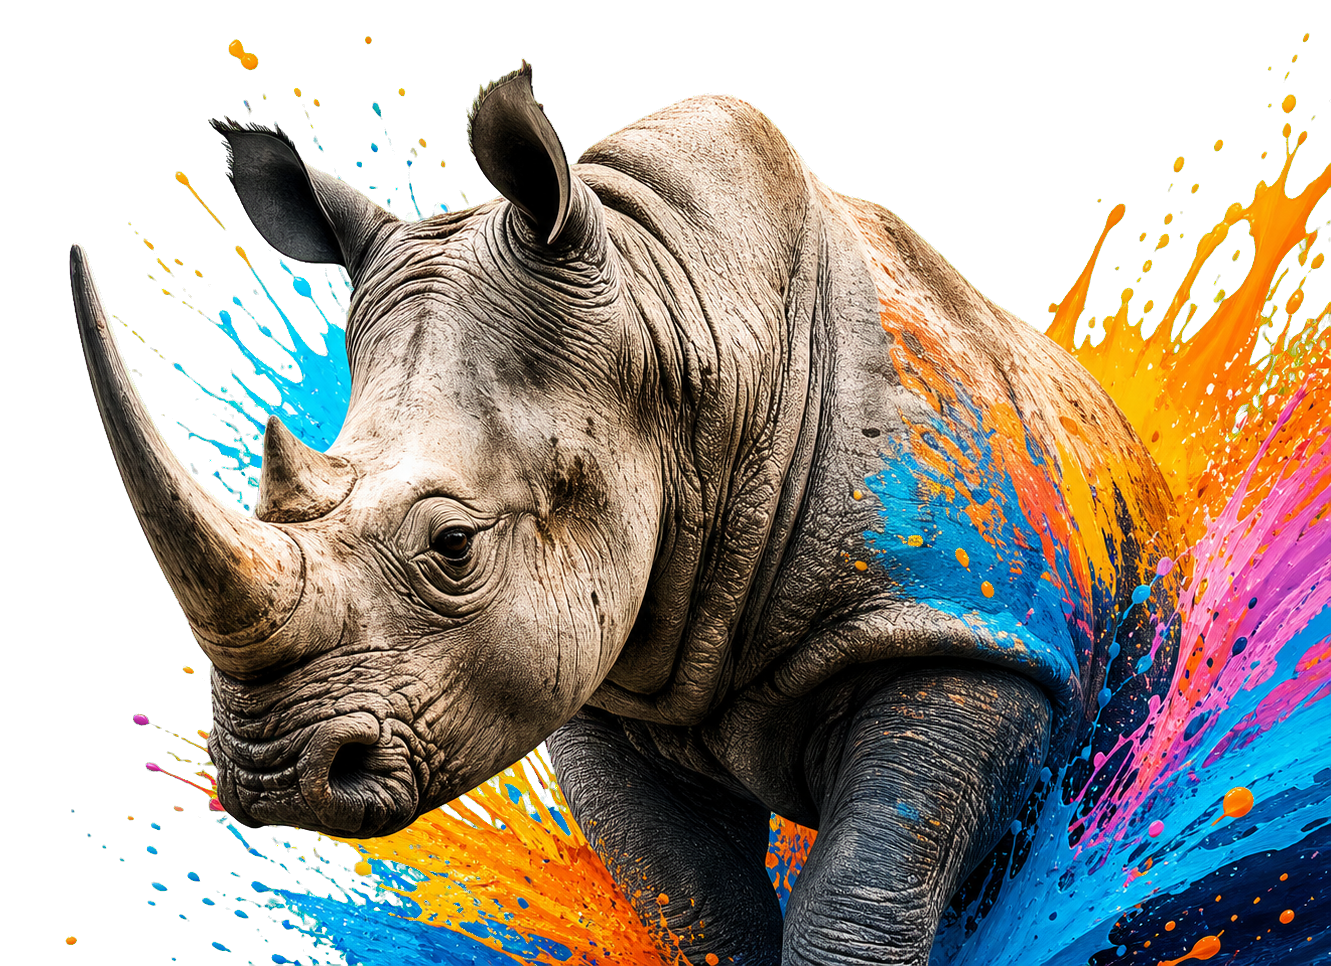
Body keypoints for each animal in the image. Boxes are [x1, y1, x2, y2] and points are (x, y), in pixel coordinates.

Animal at [72, 66, 1179, 966]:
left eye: (454, 545)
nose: (273, 777)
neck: (681, 326)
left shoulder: (962, 629)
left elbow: (861, 901)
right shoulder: (607, 682)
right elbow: (699, 912)